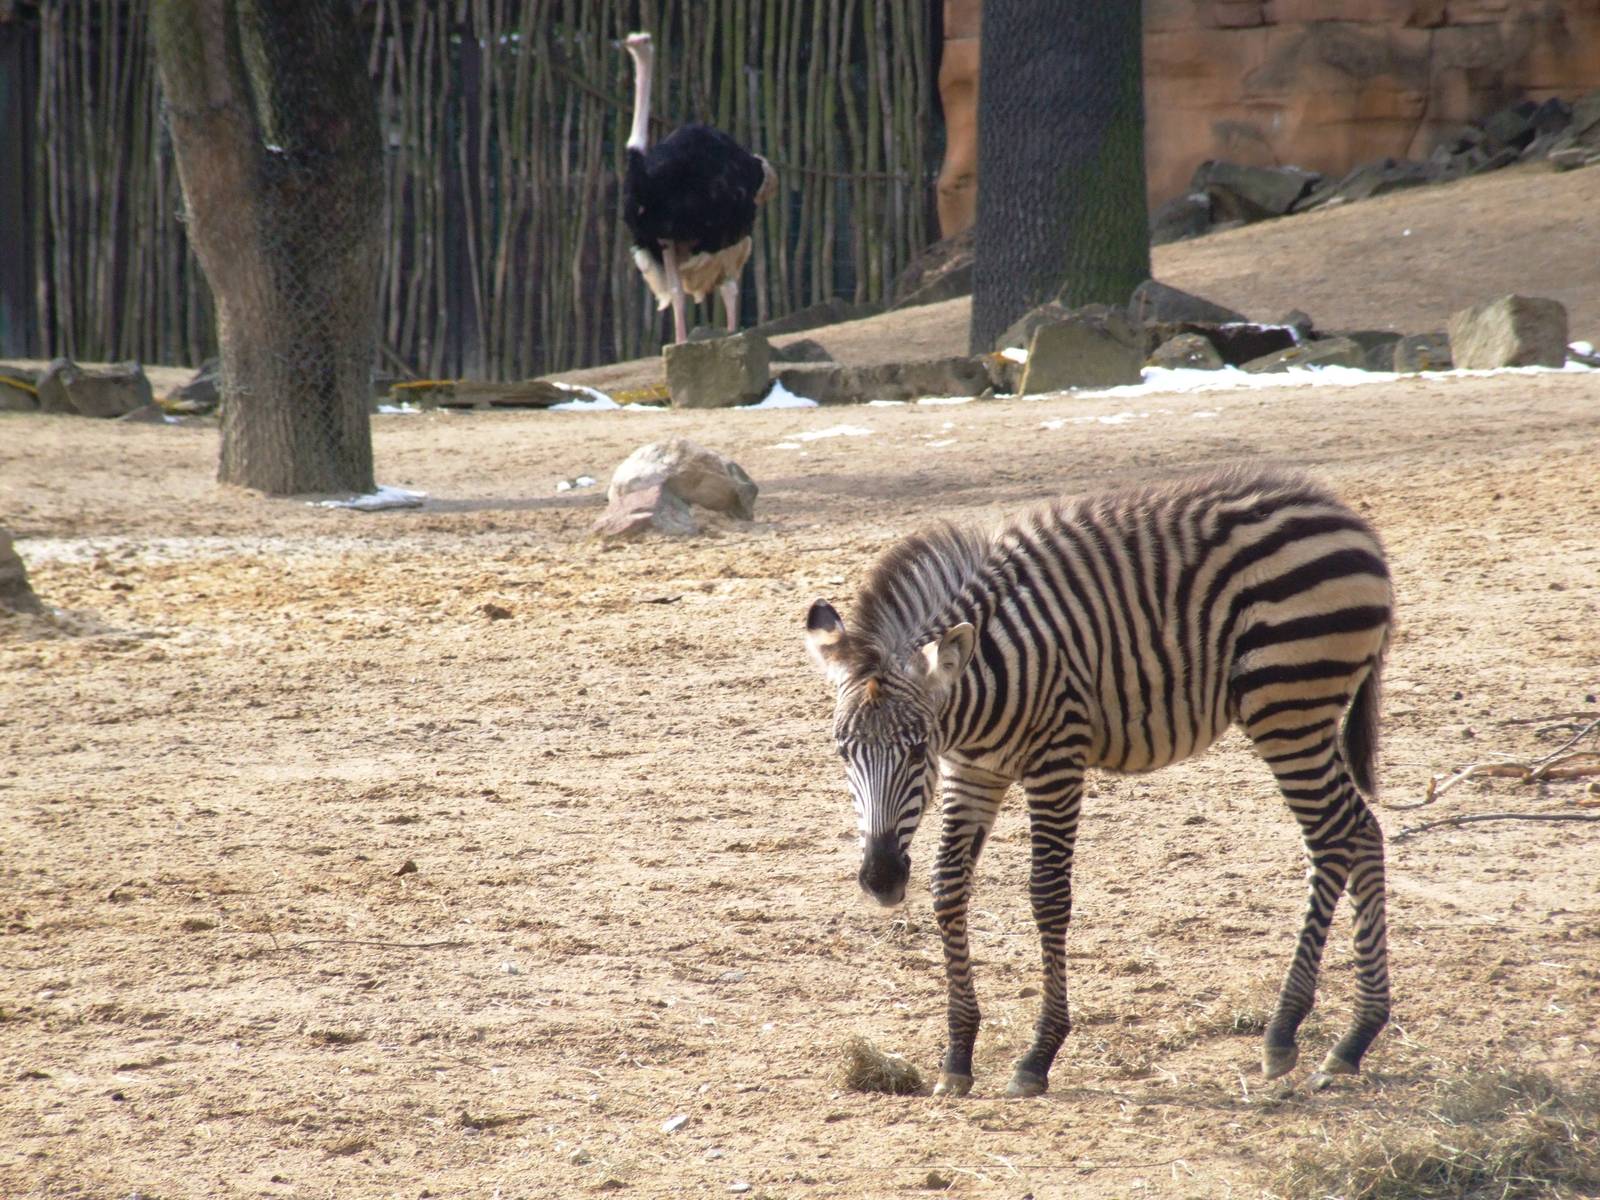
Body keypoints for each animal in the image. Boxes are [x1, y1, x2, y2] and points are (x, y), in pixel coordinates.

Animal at [803, 468, 1393, 1098]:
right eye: (843, 752)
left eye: (917, 750)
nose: (881, 879)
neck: (984, 681)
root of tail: (1349, 519)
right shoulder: (974, 772)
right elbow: (948, 888)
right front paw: (958, 1056)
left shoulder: (1056, 762)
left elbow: (1048, 894)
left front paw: (1038, 1055)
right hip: (1306, 710)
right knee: (1362, 829)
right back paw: (1356, 1037)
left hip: (1287, 703)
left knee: (1331, 837)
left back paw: (1286, 1031)